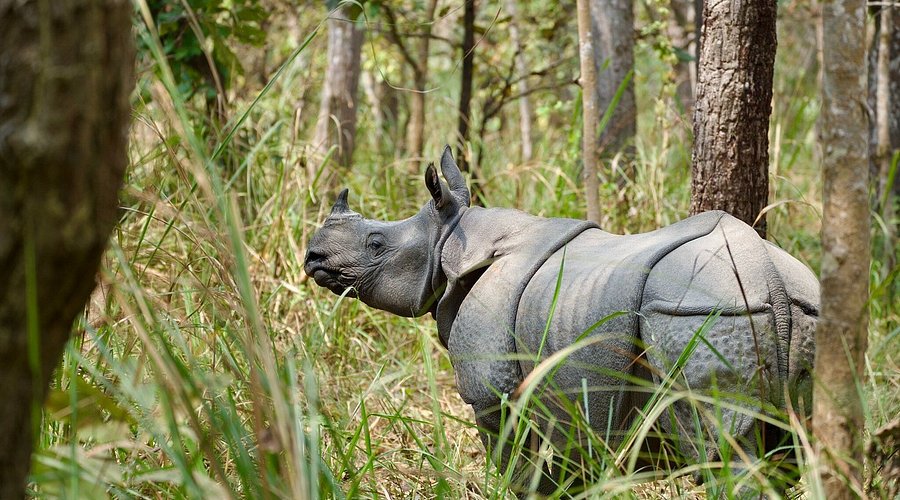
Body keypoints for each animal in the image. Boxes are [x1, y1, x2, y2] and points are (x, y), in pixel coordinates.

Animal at [304, 146, 819, 494]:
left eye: (376, 245)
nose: (312, 257)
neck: (451, 240)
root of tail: (766, 274)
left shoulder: (492, 390)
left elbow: (517, 461)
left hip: (701, 310)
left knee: (721, 445)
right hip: (798, 306)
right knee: (791, 443)